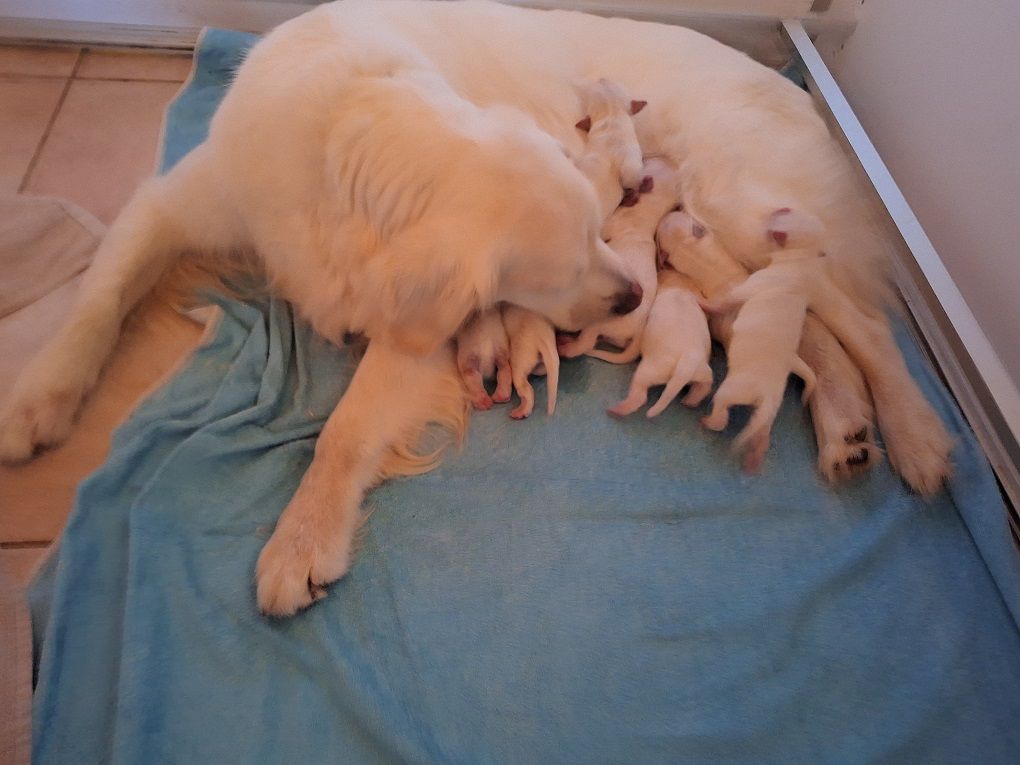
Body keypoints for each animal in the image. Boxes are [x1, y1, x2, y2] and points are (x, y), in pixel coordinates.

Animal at [563, 157, 681, 363]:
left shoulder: (612, 223)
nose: (657, 156)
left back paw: (565, 345)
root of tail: (637, 333)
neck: (651, 210)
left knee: (585, 344)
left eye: (650, 164)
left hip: (601, 320)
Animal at [603, 265, 709, 420]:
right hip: (702, 370)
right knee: (706, 384)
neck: (681, 288)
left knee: (640, 396)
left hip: (648, 371)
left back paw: (618, 410)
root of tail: (687, 362)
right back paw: (692, 400)